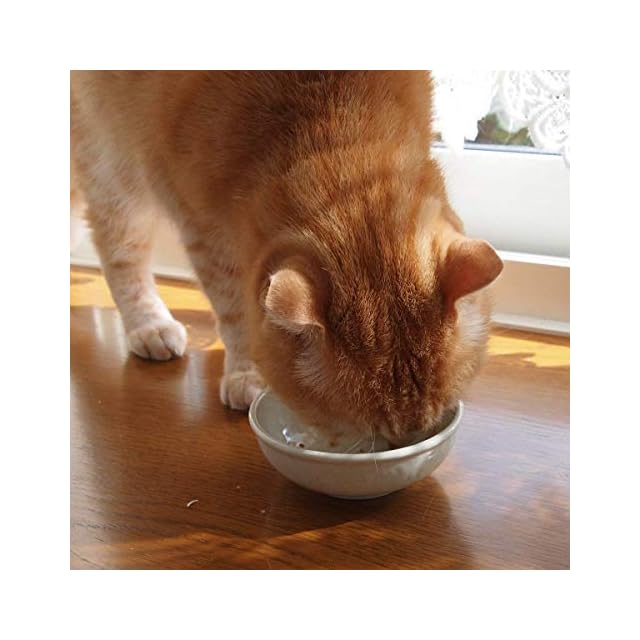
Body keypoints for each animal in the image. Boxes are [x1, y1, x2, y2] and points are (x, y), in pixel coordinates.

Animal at [70, 71, 502, 446]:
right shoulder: (205, 232)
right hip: (114, 168)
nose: (410, 442)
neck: (330, 111)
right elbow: (235, 311)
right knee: (117, 251)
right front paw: (246, 371)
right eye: (377, 432)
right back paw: (149, 325)